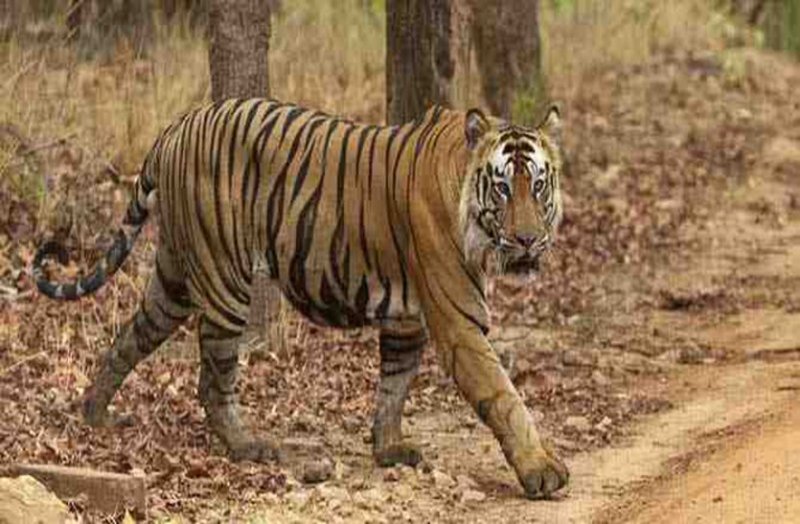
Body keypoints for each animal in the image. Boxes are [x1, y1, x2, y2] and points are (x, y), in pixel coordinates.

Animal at [33, 98, 568, 499]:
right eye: (503, 189)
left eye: (539, 186)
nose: (527, 240)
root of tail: (176, 127)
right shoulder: (457, 320)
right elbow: (503, 396)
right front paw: (541, 470)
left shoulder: (407, 319)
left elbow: (394, 386)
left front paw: (388, 449)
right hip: (224, 280)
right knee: (213, 381)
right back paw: (247, 446)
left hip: (174, 278)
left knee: (132, 335)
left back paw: (95, 412)